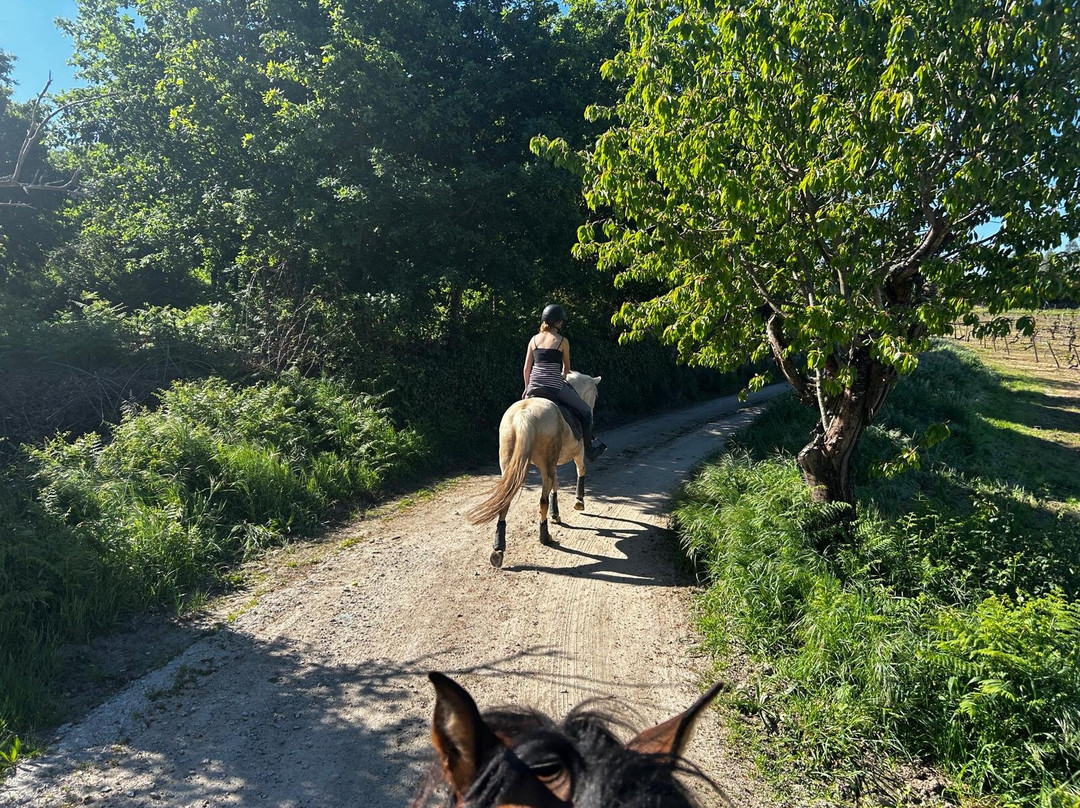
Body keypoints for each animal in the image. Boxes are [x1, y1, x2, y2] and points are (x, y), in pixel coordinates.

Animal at [466, 371, 601, 567]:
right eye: (596, 395)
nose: (592, 409)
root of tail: (525, 415)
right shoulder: (578, 452)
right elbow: (580, 471)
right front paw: (579, 502)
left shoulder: (553, 464)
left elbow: (556, 485)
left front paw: (556, 514)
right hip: (546, 464)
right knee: (542, 500)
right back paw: (545, 537)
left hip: (510, 464)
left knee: (505, 500)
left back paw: (498, 549)